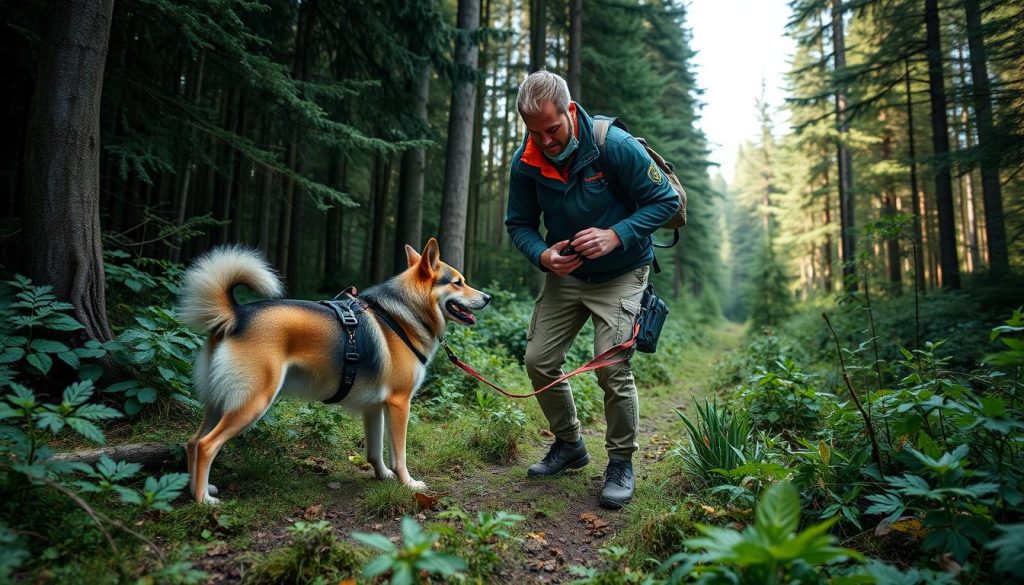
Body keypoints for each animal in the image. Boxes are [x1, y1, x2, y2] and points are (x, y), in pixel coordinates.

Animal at [177, 240, 491, 506]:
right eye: (458, 282)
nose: (487, 297)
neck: (403, 314)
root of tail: (236, 315)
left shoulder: (374, 408)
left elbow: (375, 451)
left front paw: (383, 476)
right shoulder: (400, 403)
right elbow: (399, 454)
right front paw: (407, 482)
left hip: (221, 402)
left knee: (192, 442)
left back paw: (196, 489)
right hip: (251, 403)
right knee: (206, 445)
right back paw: (203, 500)